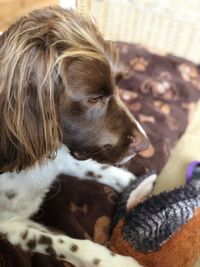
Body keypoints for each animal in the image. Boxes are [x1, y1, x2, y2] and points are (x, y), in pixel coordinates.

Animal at [0, 6, 152, 267]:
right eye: (93, 99)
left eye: (118, 86)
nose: (145, 144)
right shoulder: (9, 226)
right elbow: (72, 244)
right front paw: (119, 261)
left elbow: (96, 167)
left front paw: (137, 184)